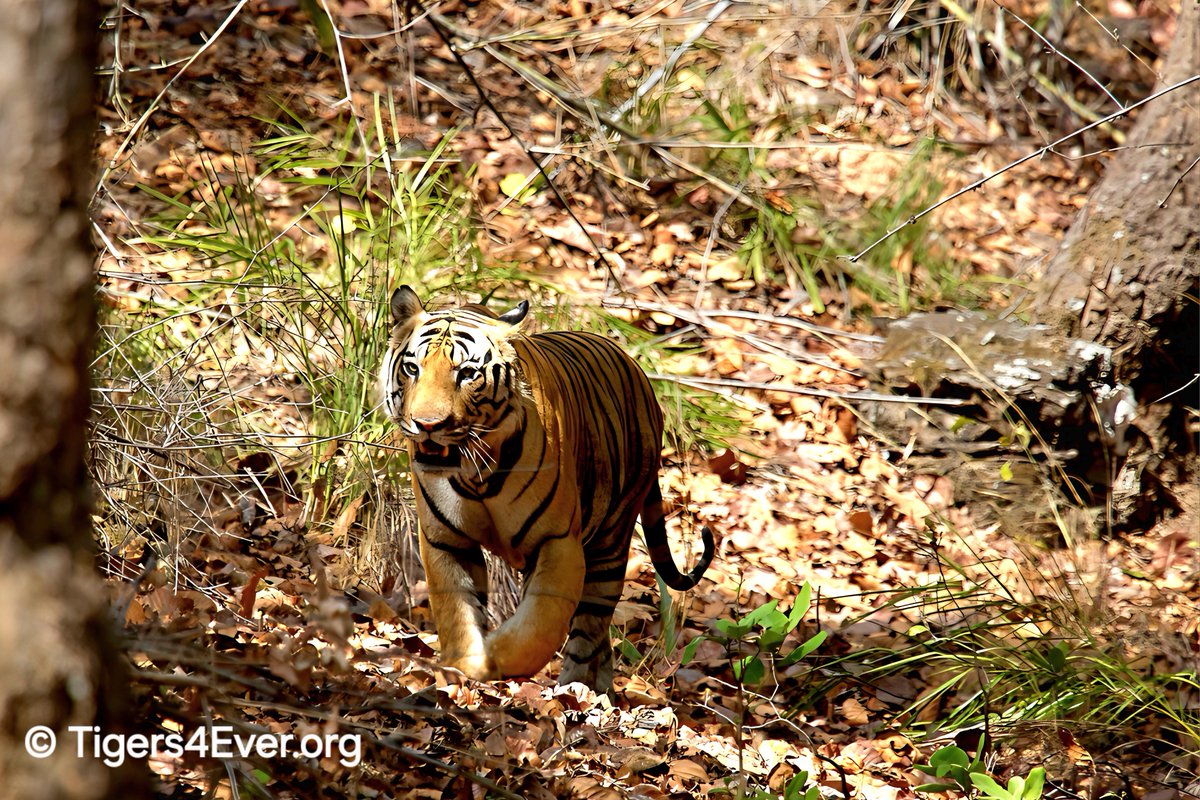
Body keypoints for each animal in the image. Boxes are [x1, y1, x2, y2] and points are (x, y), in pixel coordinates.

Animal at [378, 285, 714, 692]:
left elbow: (540, 626)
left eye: (468, 373)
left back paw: (579, 689)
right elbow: (455, 611)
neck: (476, 474)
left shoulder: (558, 544)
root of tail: (636, 369)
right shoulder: (444, 540)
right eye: (413, 368)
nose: (427, 425)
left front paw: (495, 658)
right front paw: (463, 665)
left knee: (589, 629)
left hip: (611, 543)